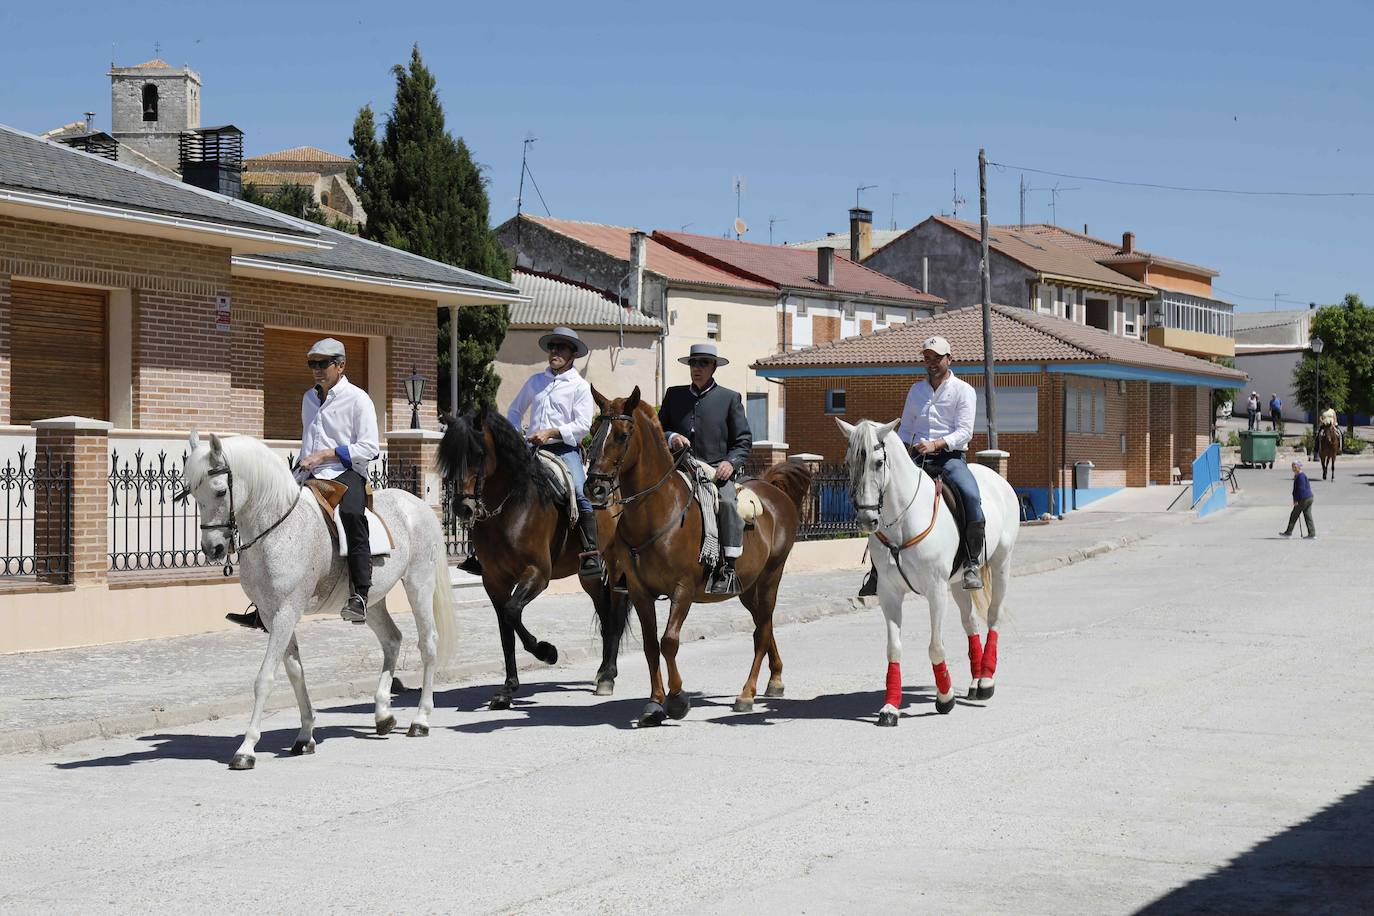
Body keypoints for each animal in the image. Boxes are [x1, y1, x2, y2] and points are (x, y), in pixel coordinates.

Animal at [184, 433, 456, 769]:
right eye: (193, 492)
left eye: (220, 491)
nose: (214, 548)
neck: (277, 529)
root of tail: (418, 504)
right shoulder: (271, 614)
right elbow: (295, 672)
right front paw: (305, 736)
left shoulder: (286, 611)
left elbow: (265, 678)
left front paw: (246, 748)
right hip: (372, 601)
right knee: (392, 639)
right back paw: (383, 715)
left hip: (419, 583)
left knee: (428, 643)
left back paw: (420, 719)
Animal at [439, 411, 632, 714]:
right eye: (449, 455)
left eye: (478, 454)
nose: (462, 508)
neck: (511, 507)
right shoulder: (493, 581)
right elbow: (506, 627)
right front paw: (507, 689)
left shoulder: (537, 574)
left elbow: (512, 612)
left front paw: (547, 651)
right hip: (588, 576)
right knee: (604, 614)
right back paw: (602, 672)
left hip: (615, 566)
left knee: (616, 611)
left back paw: (608, 676)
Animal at [582, 390, 813, 730]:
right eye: (594, 430)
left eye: (622, 435)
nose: (594, 487)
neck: (656, 511)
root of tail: (771, 489)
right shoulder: (639, 592)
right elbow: (650, 645)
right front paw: (655, 704)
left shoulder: (683, 590)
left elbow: (669, 641)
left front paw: (678, 700)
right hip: (748, 588)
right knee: (765, 624)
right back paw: (775, 680)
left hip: (771, 576)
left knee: (761, 632)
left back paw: (747, 694)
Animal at [835, 420, 1022, 730]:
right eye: (849, 463)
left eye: (878, 462)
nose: (866, 519)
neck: (903, 521)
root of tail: (997, 480)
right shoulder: (889, 594)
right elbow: (894, 649)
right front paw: (890, 707)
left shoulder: (935, 591)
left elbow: (935, 646)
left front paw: (945, 698)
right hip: (958, 583)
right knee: (970, 622)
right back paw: (975, 680)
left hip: (1001, 564)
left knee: (993, 617)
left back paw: (985, 681)